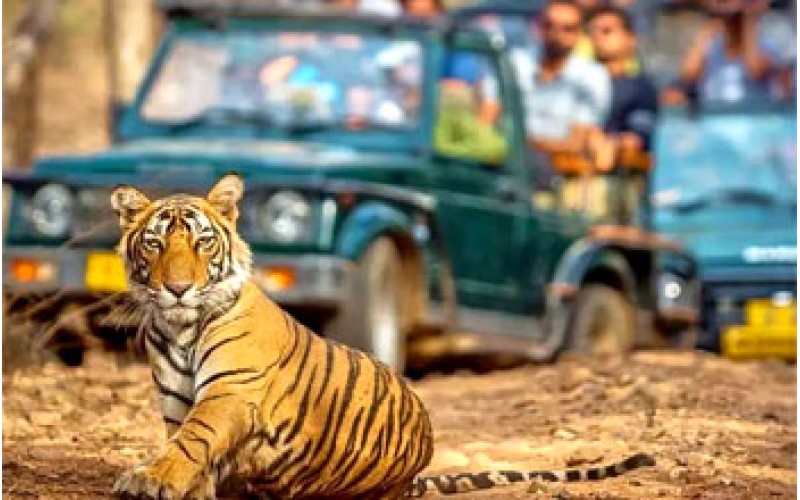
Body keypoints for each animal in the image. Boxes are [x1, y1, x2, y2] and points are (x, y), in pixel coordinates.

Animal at [110, 173, 655, 499]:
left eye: (202, 242)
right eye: (155, 244)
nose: (178, 288)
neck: (179, 328)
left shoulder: (231, 391)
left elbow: (192, 441)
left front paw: (150, 479)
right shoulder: (175, 401)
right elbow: (187, 445)